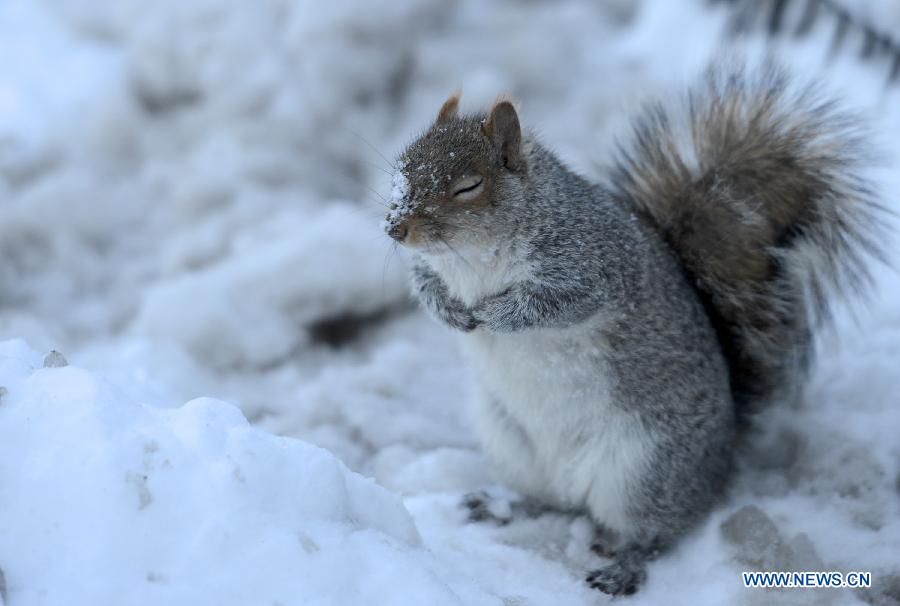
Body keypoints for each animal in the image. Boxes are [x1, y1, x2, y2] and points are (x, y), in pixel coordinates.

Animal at [380, 63, 884, 600]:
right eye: (403, 166)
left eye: (469, 186)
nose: (395, 228)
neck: (473, 258)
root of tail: (722, 461)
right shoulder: (433, 268)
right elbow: (425, 284)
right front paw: (452, 313)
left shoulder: (594, 266)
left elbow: (555, 304)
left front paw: (496, 316)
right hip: (512, 445)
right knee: (551, 502)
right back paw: (501, 505)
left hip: (644, 470)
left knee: (653, 533)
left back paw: (624, 566)